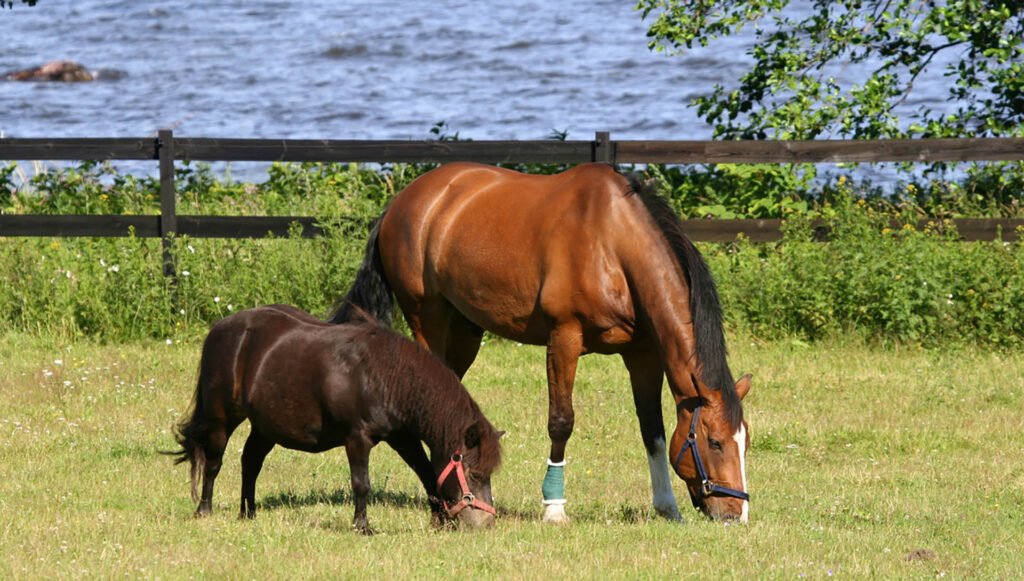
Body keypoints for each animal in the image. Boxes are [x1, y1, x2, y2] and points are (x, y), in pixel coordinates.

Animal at [167, 304, 503, 534]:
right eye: (474, 474)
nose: (487, 522)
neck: (385, 375)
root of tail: (220, 329)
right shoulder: (357, 438)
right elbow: (361, 484)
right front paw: (362, 526)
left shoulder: (403, 438)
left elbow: (427, 474)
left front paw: (439, 520)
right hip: (220, 418)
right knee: (213, 463)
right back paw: (204, 510)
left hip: (265, 427)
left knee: (250, 462)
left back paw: (248, 513)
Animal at [330, 162, 752, 523]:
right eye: (714, 442)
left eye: (745, 441)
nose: (736, 514)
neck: (613, 244)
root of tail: (402, 201)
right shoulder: (564, 337)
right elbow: (561, 422)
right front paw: (554, 508)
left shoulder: (643, 355)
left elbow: (653, 430)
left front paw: (667, 508)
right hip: (427, 316)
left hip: (467, 328)